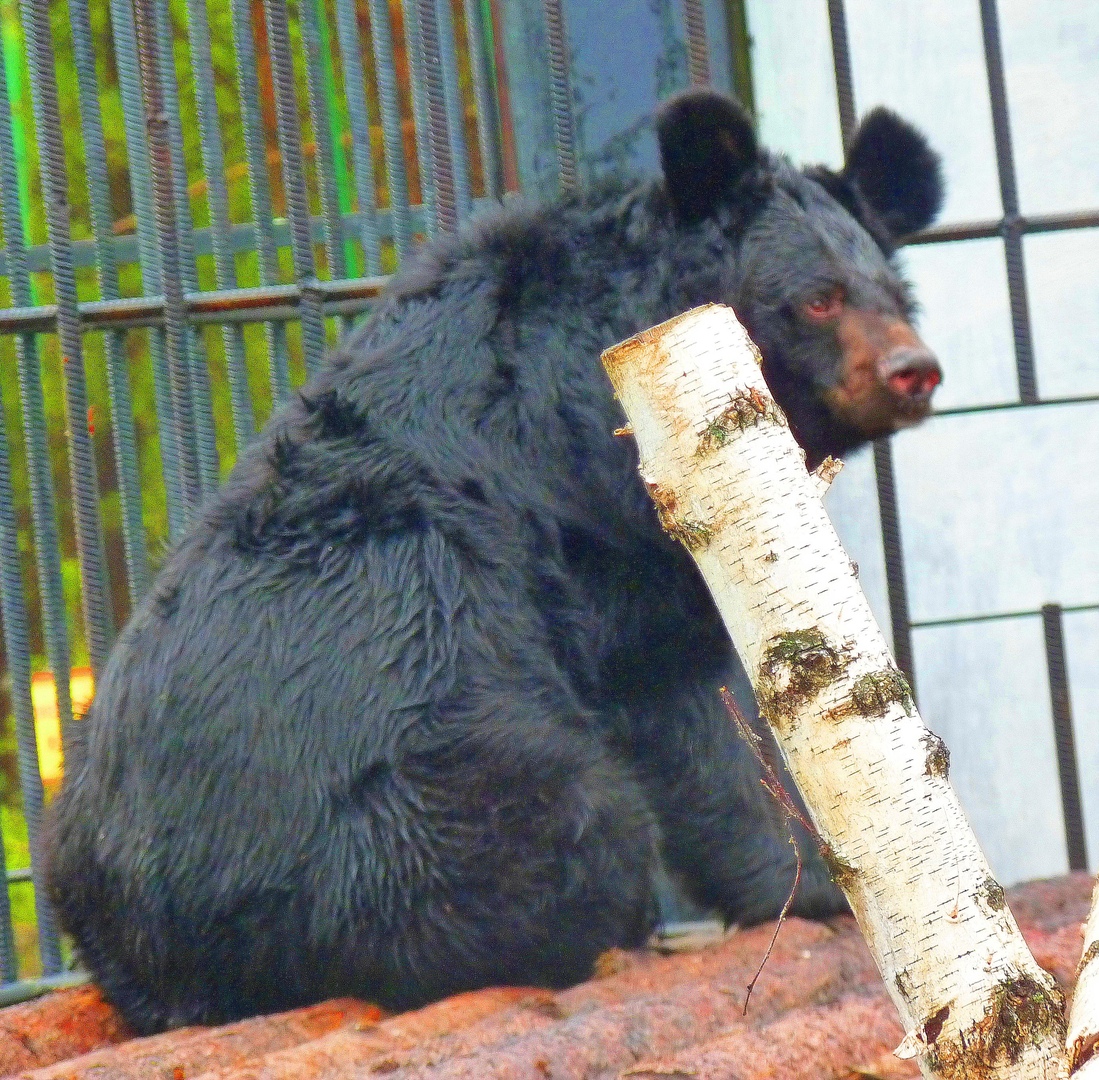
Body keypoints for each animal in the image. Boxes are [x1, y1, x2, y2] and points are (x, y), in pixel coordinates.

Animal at [47, 90, 945, 1028]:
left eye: (894, 295)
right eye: (818, 300)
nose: (912, 371)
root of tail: (151, 938)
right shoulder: (602, 514)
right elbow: (678, 696)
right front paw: (811, 884)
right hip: (424, 806)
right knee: (568, 830)